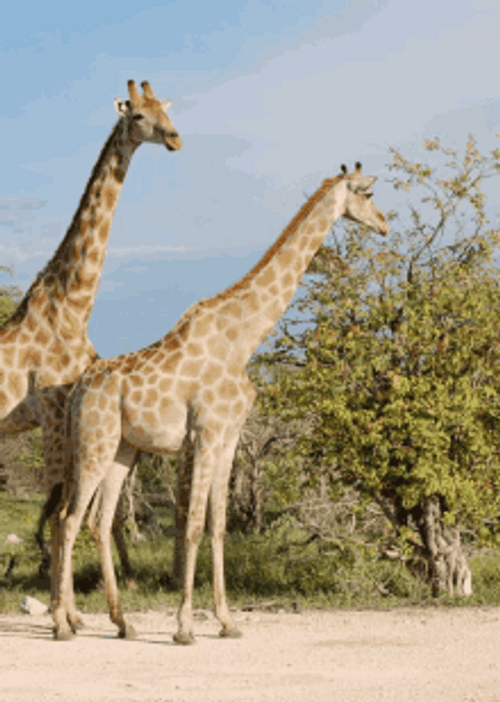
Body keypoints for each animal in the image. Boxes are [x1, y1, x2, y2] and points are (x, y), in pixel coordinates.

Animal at [0, 79, 182, 607]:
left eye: (166, 109)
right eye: (137, 115)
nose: (175, 138)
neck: (74, 307)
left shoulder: (69, 412)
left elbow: (78, 504)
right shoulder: (52, 413)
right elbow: (63, 504)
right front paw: (63, 598)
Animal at [52, 162, 388, 642]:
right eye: (368, 193)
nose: (384, 224)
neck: (244, 339)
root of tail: (78, 390)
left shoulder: (230, 436)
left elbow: (219, 526)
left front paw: (227, 621)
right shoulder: (206, 432)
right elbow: (192, 525)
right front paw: (184, 626)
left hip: (122, 448)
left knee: (97, 520)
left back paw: (123, 623)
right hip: (92, 443)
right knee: (69, 518)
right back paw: (64, 624)